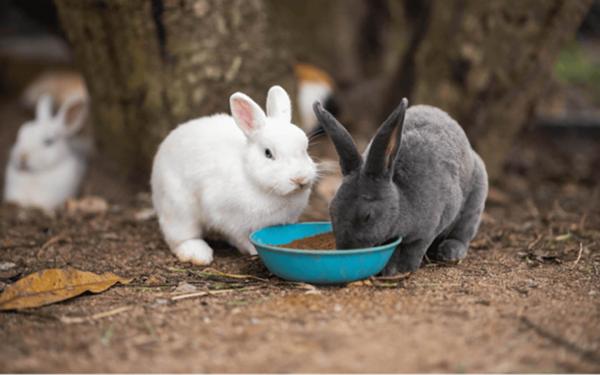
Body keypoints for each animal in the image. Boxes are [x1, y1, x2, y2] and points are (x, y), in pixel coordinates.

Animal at [151, 86, 318, 268]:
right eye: (268, 153)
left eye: (305, 149)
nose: (300, 178)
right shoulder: (230, 221)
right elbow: (241, 238)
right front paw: (253, 250)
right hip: (178, 209)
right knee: (179, 237)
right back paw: (197, 253)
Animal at [314, 98, 488, 276]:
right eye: (331, 209)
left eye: (367, 216)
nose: (346, 249)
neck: (401, 199)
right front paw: (390, 269)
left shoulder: (429, 229)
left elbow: (414, 249)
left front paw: (403, 269)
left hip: (474, 202)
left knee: (463, 232)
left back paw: (450, 252)